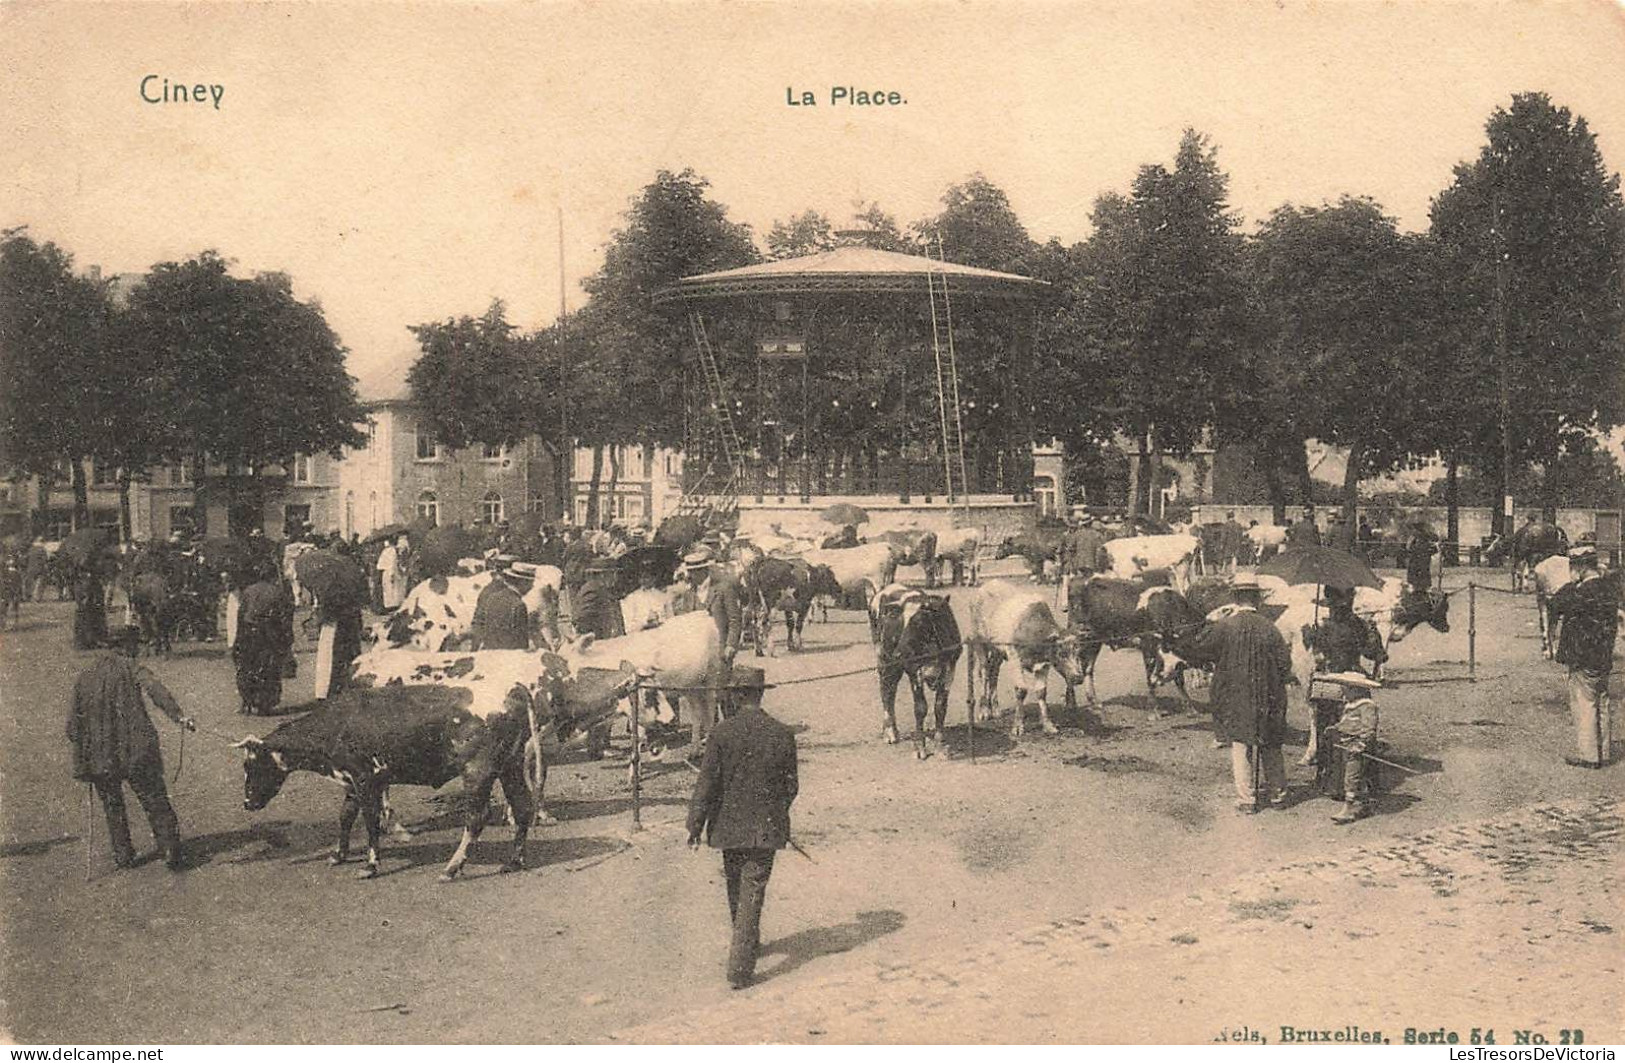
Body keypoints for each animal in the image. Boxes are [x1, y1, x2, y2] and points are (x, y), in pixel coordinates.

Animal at [235, 653, 640, 884]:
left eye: (252, 763)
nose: (247, 803)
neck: (338, 723)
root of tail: (515, 688)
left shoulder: (365, 777)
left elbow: (369, 821)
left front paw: (370, 865)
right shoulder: (353, 779)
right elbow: (346, 815)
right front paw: (338, 854)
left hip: (478, 771)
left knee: (476, 818)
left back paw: (452, 867)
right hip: (508, 766)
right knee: (523, 808)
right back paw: (514, 860)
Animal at [877, 581, 962, 757]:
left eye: (919, 622)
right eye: (901, 621)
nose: (899, 654)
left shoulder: (950, 669)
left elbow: (940, 707)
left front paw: (940, 745)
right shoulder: (914, 670)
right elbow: (920, 708)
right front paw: (920, 747)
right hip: (885, 658)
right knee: (887, 690)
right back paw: (889, 732)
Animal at [955, 581, 1085, 741]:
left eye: (1078, 653)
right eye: (1062, 654)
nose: (1078, 677)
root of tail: (988, 585)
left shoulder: (1044, 665)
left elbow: (1041, 692)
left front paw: (1048, 725)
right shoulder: (1015, 659)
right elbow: (1021, 690)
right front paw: (1017, 726)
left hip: (998, 650)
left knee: (994, 673)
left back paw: (996, 709)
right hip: (979, 641)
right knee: (985, 673)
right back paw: (984, 711)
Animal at [1066, 578, 1209, 721]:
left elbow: (1179, 680)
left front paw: (1191, 709)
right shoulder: (1148, 646)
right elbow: (1150, 678)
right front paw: (1153, 712)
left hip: (1096, 641)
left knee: (1088, 670)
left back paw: (1095, 703)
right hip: (1081, 638)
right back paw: (1071, 705)